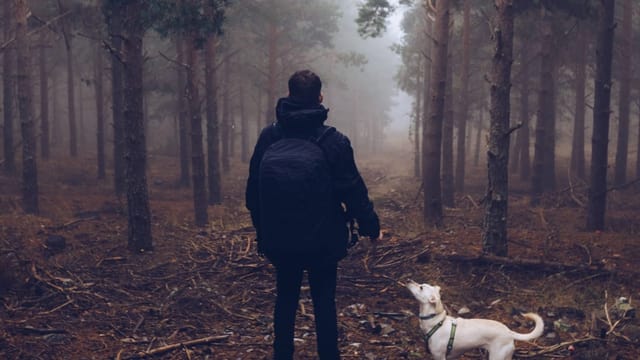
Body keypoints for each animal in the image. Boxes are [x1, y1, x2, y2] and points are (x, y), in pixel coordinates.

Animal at [408, 282, 544, 360]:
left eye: (421, 287)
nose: (409, 280)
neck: (436, 323)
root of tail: (509, 332)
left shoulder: (439, 356)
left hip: (497, 357)